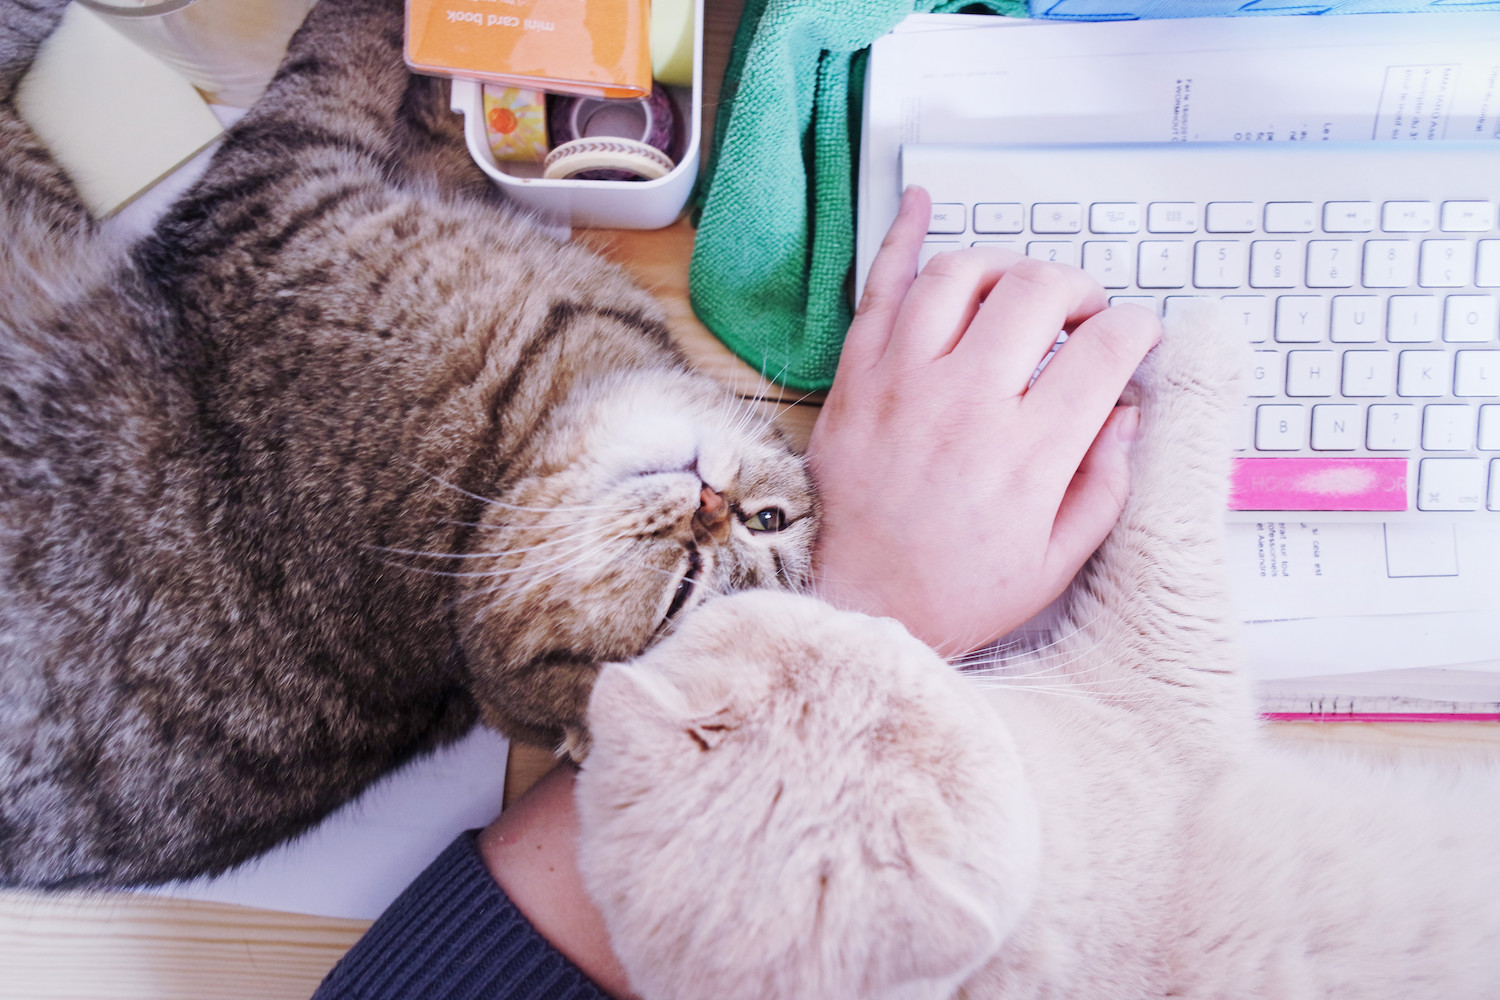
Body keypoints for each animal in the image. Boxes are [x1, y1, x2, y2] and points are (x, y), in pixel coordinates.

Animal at [0, 0, 822, 887]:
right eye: (768, 520)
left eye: (682, 593)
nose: (711, 504)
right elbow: (429, 118)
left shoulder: (276, 186)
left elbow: (333, 52)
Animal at [570, 302, 1500, 1000]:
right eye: (897, 652)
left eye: (851, 631)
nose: (896, 624)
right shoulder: (1160, 661)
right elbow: (1167, 483)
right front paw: (1206, 327)